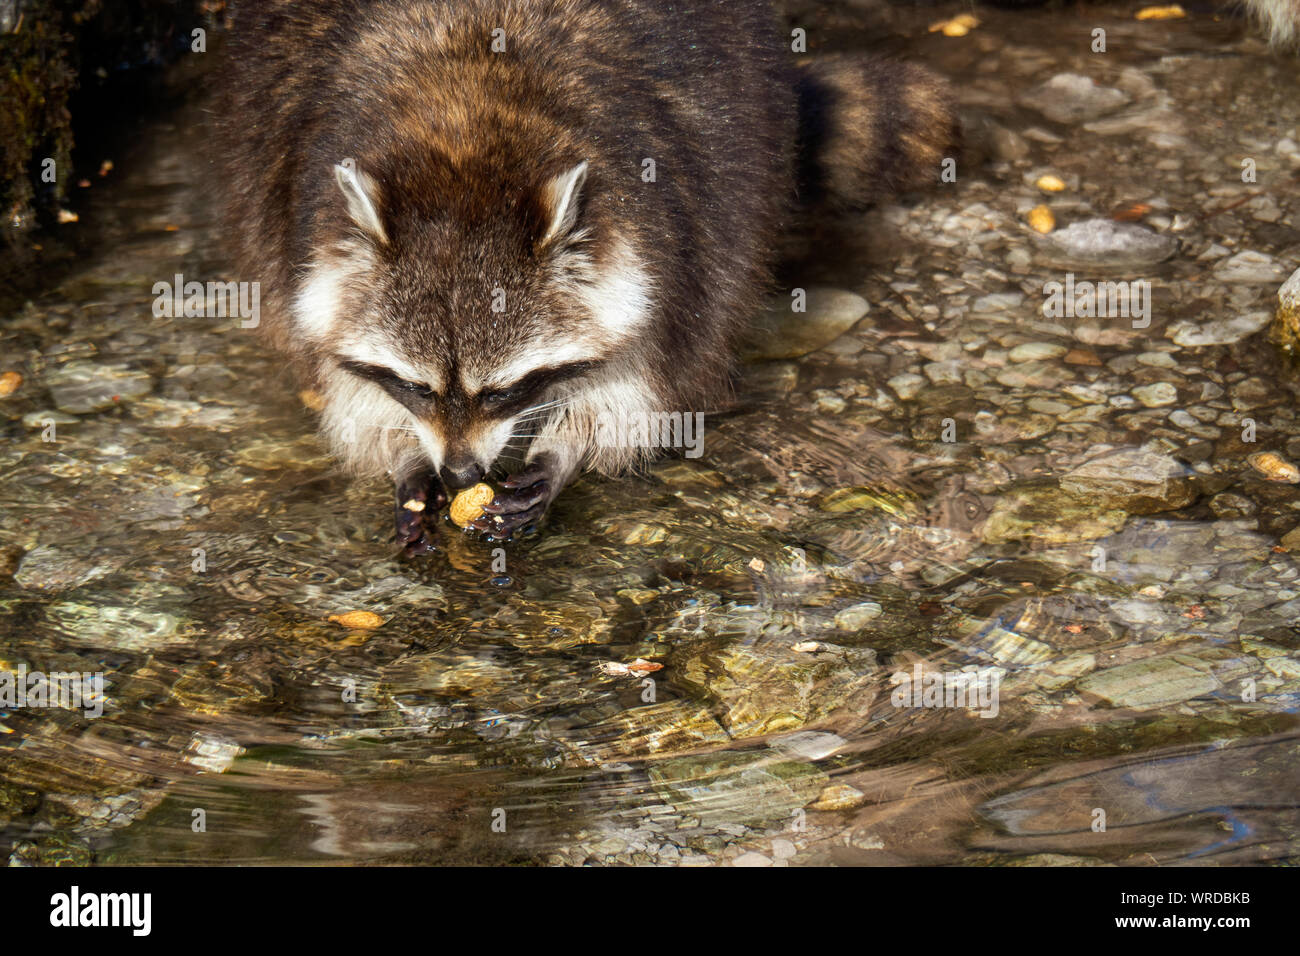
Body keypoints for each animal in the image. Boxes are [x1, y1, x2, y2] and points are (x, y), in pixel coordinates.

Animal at [218, 0, 961, 548]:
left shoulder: (674, 228)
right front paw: (400, 454)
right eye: (415, 386)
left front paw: (566, 452)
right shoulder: (299, 218)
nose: (460, 471)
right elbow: (340, 377)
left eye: (503, 391)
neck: (465, 141)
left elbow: (645, 375)